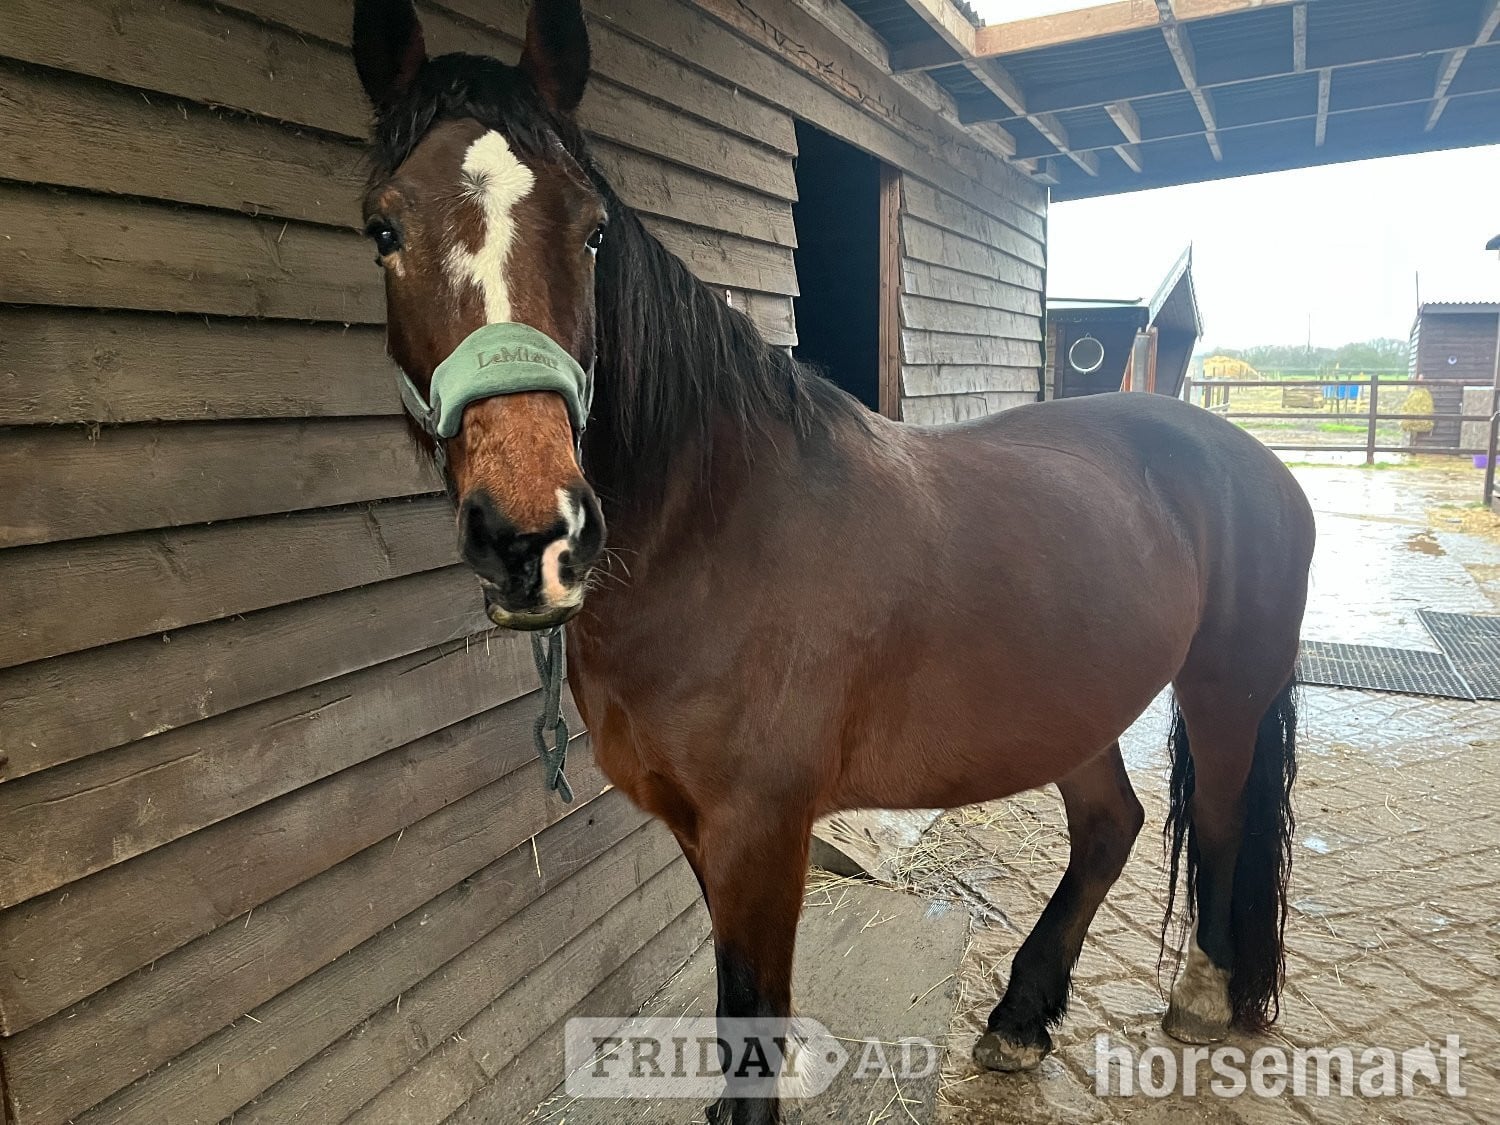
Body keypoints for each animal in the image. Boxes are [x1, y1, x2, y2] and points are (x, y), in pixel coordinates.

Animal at [348, 2, 1316, 1121]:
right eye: (383, 229)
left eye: (592, 231)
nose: (531, 536)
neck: (714, 531)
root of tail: (1249, 458)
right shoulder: (702, 828)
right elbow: (742, 1012)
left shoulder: (759, 830)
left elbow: (751, 1012)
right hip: (1072, 699)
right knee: (1111, 825)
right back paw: (1021, 1018)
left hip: (1223, 691)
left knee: (1226, 818)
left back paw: (1201, 993)